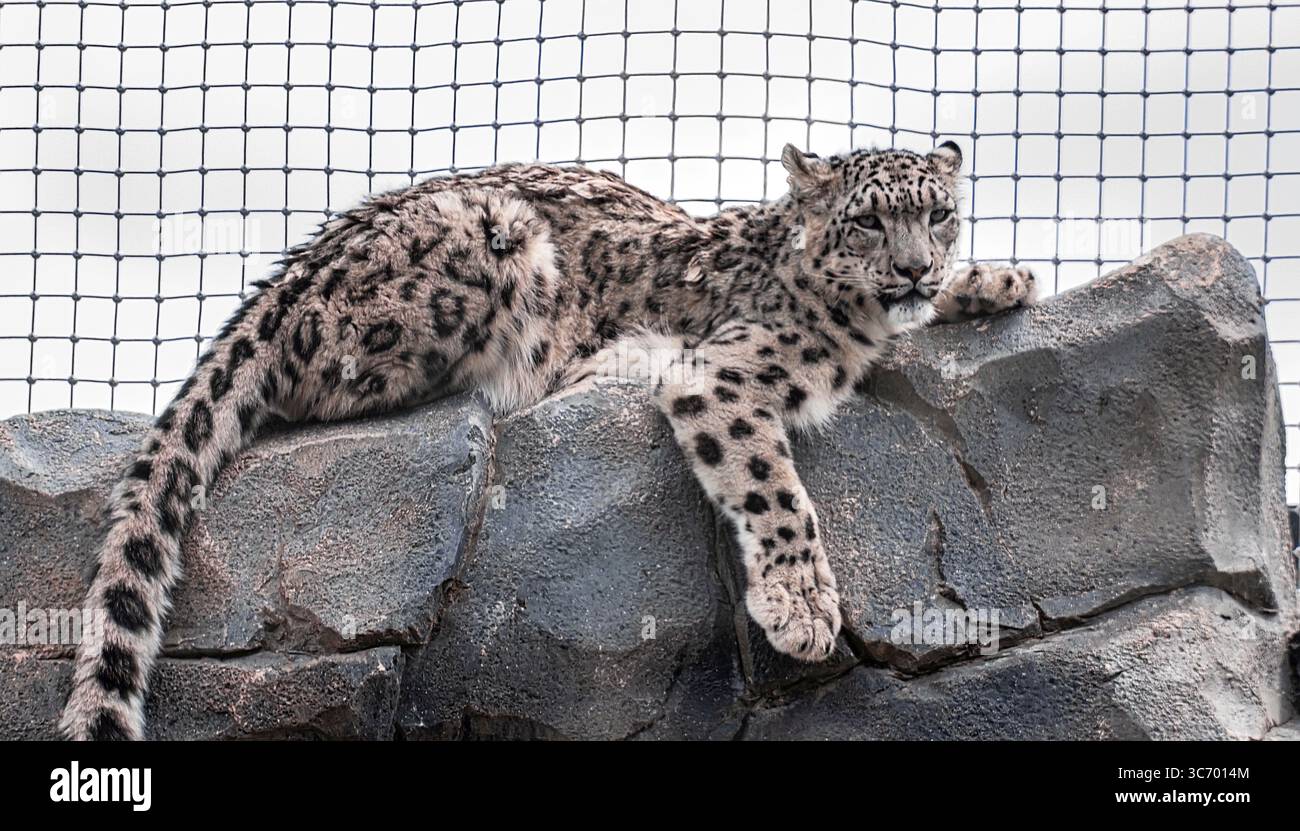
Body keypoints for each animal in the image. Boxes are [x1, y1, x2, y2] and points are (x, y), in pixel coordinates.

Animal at [61, 140, 1035, 740]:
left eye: (938, 215)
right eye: (867, 220)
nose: (914, 268)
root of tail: (286, 277)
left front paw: (1000, 279)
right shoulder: (721, 371)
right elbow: (776, 489)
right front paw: (802, 609)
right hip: (486, 247)